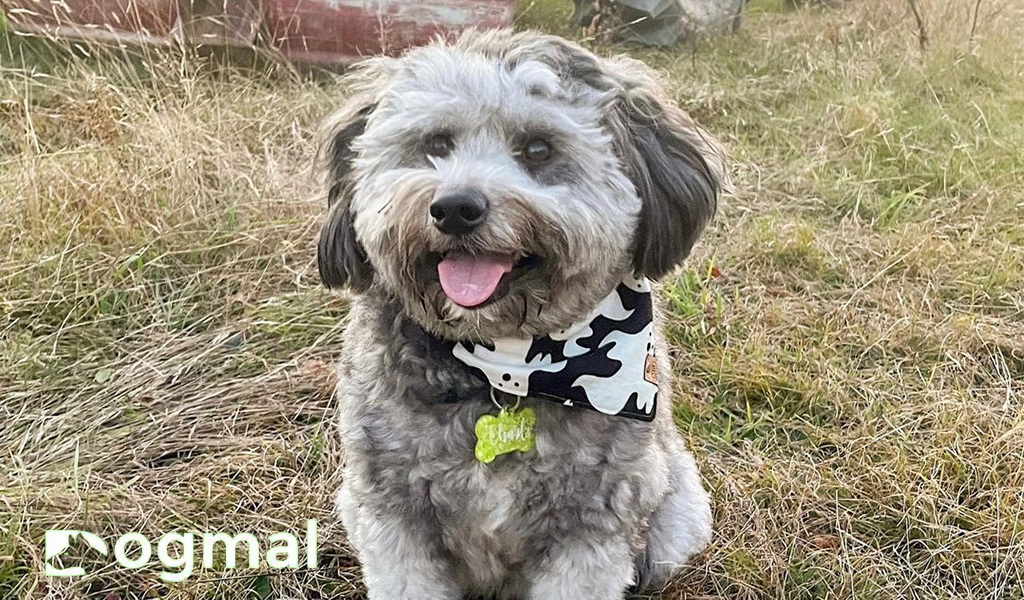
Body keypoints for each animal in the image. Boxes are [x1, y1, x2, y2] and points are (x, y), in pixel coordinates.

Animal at [315, 29, 724, 597]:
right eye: (437, 144)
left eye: (537, 148)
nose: (455, 208)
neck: (509, 368)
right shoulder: (391, 516)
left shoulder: (591, 530)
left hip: (677, 512)